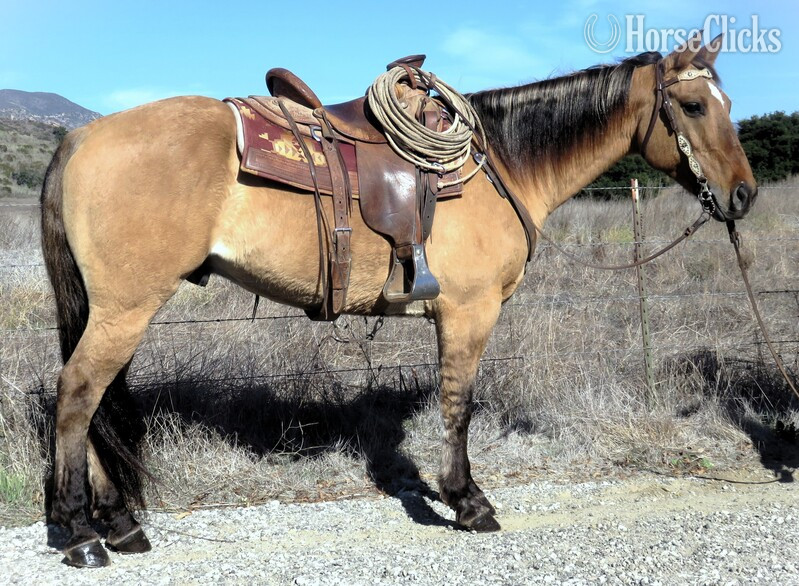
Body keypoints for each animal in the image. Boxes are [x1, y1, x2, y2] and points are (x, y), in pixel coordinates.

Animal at [41, 33, 755, 566]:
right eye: (694, 105)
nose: (743, 195)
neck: (501, 163)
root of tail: (82, 137)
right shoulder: (469, 312)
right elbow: (458, 407)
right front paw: (468, 501)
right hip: (125, 309)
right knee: (77, 396)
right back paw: (81, 534)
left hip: (113, 312)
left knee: (91, 402)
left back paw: (119, 525)